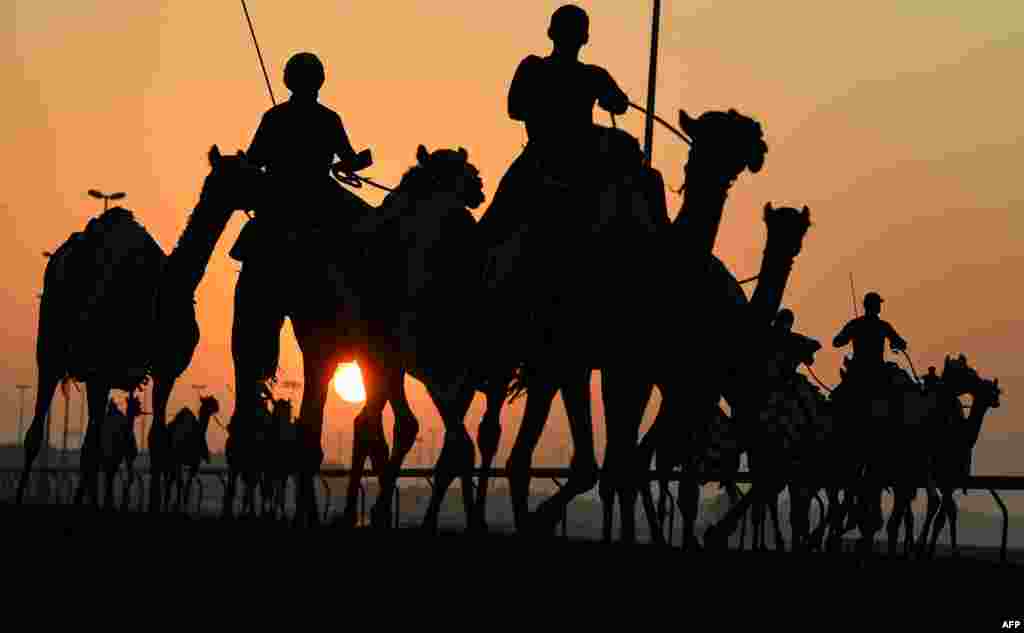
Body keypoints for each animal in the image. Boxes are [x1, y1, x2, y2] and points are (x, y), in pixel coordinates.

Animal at [16, 146, 262, 508]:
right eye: (236, 174)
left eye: (248, 168)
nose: (266, 187)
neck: (163, 291)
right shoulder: (101, 367)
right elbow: (91, 449)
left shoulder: (165, 370)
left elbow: (158, 442)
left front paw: (155, 506)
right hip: (51, 347)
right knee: (39, 432)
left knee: (92, 442)